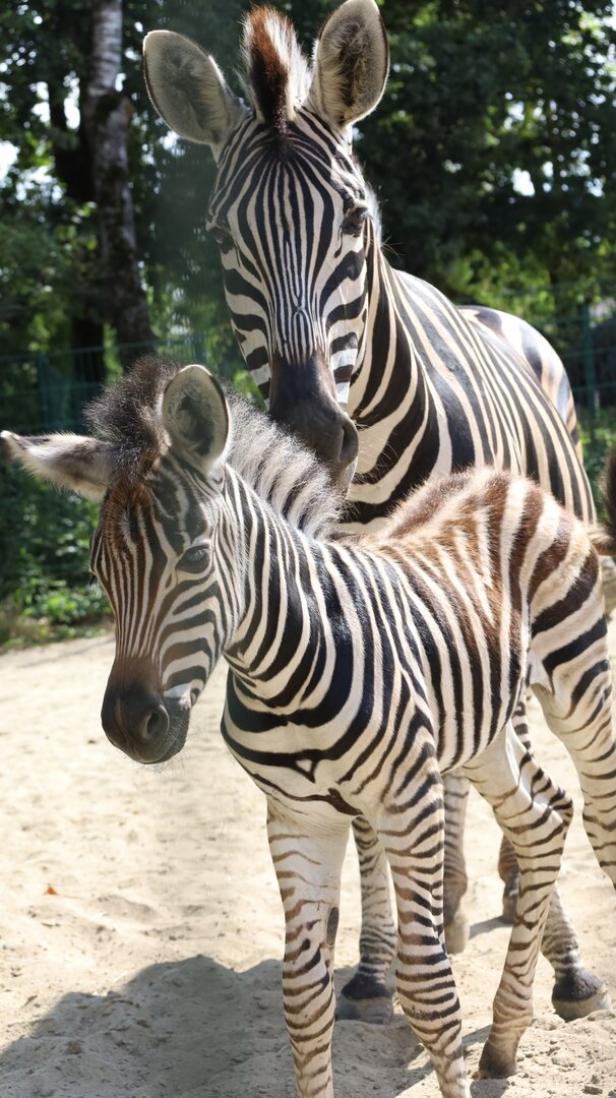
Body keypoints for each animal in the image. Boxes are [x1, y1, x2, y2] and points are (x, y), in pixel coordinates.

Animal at [4, 360, 614, 1098]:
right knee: (543, 818)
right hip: (481, 731)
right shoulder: (298, 818)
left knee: (599, 814)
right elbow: (301, 994)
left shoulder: (408, 803)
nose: (129, 727)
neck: (284, 668)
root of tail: (505, 480)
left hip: (580, 688)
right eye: (99, 571)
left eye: (195, 558)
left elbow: (429, 989)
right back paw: (503, 1038)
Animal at [140, 2, 614, 1018]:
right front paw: (373, 961)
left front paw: (549, 954)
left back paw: (518, 902)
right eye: (222, 237)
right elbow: (369, 814)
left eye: (355, 220)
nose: (314, 429)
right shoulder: (342, 617)